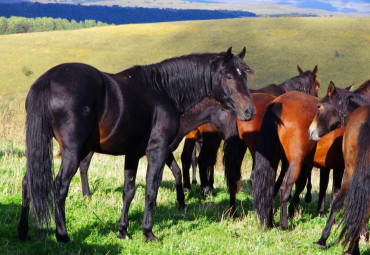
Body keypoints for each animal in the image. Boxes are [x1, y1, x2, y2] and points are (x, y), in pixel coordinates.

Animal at [17, 46, 254, 242]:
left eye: (244, 76)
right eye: (229, 76)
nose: (249, 111)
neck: (163, 90)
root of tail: (47, 81)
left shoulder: (132, 154)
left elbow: (128, 191)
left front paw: (123, 230)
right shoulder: (158, 150)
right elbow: (151, 190)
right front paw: (148, 232)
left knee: (29, 182)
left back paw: (23, 231)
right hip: (73, 152)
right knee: (59, 186)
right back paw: (62, 234)